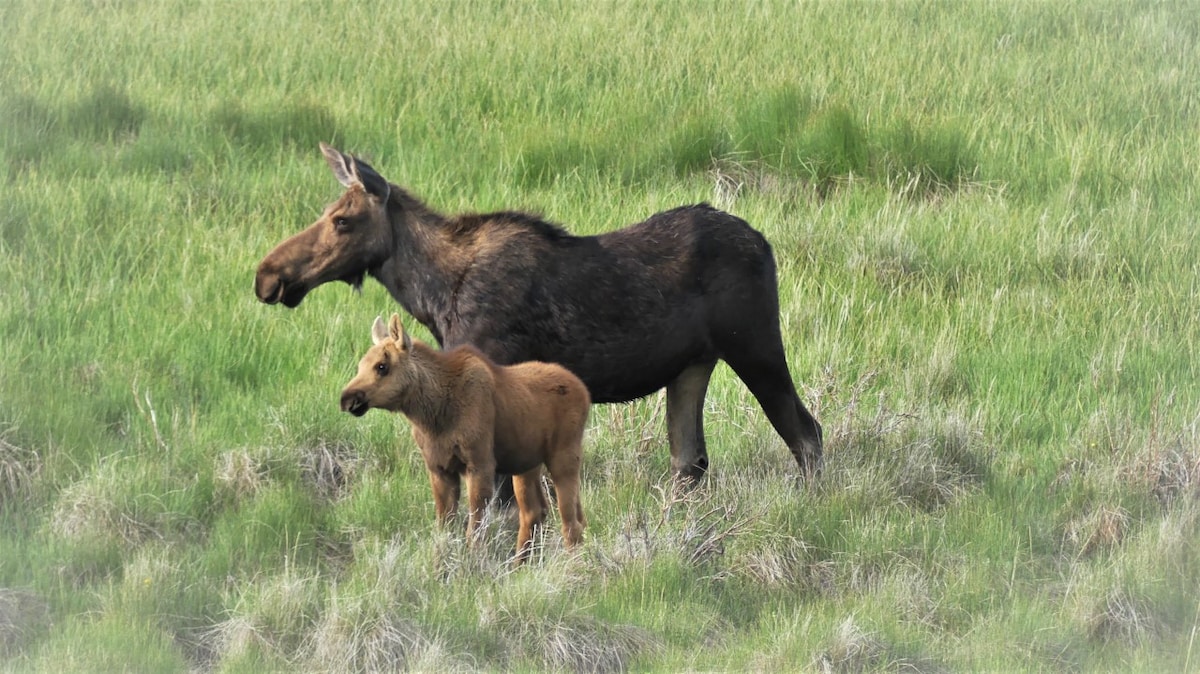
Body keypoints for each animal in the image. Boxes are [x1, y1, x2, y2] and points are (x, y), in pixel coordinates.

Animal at [256, 144, 820, 479]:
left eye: (343, 220)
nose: (268, 276)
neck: (431, 296)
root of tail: (765, 244)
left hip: (755, 344)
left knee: (805, 432)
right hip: (692, 366)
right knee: (690, 460)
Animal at [340, 311, 588, 558]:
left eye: (382, 366)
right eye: (361, 364)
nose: (347, 399)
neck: (433, 415)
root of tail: (584, 391)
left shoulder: (479, 464)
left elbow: (474, 531)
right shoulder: (440, 469)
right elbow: (445, 528)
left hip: (564, 457)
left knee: (571, 521)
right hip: (526, 465)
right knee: (536, 512)